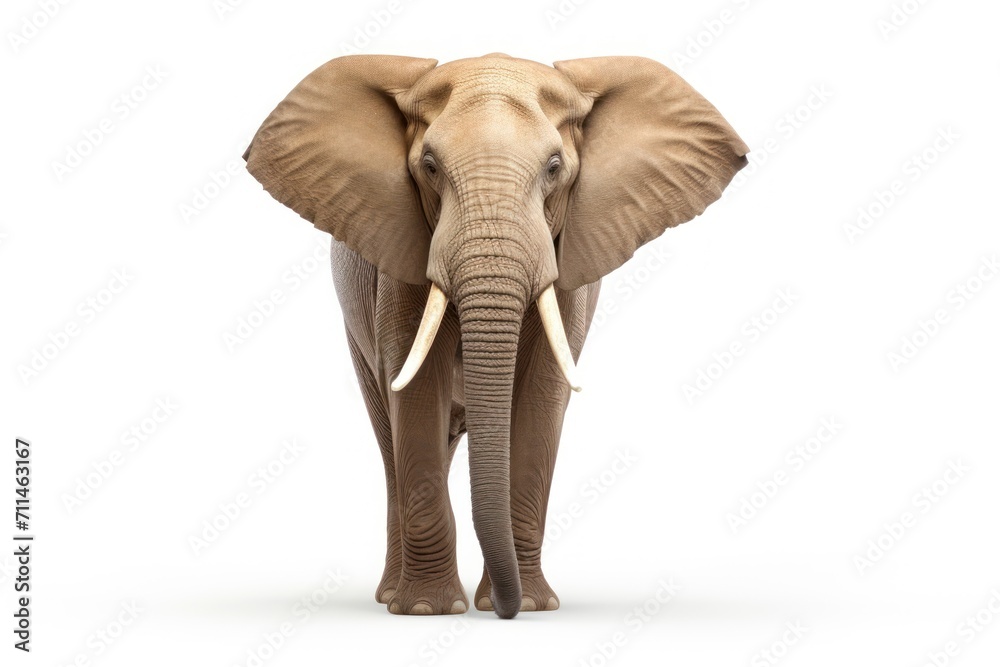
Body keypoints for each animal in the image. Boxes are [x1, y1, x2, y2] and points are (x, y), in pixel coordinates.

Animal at [243, 53, 747, 619]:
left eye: (554, 168)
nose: (503, 610)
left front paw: (531, 606)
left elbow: (541, 398)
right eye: (430, 167)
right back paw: (392, 597)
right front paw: (429, 610)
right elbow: (417, 391)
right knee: (391, 437)